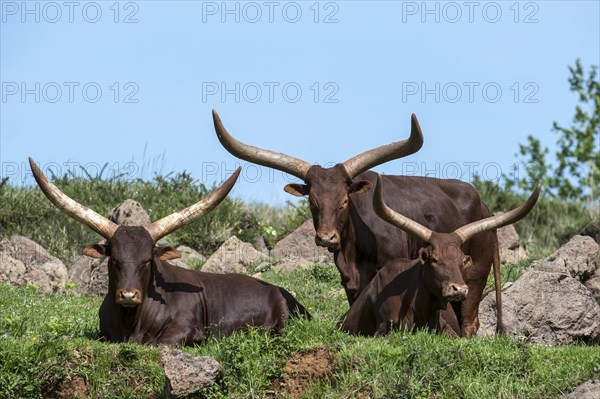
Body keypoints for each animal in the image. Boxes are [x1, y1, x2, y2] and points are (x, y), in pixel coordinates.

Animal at [213, 109, 504, 338]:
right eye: (312, 202)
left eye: (344, 201)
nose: (326, 237)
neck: (355, 248)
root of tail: (484, 206)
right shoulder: (350, 284)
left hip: (474, 276)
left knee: (469, 321)